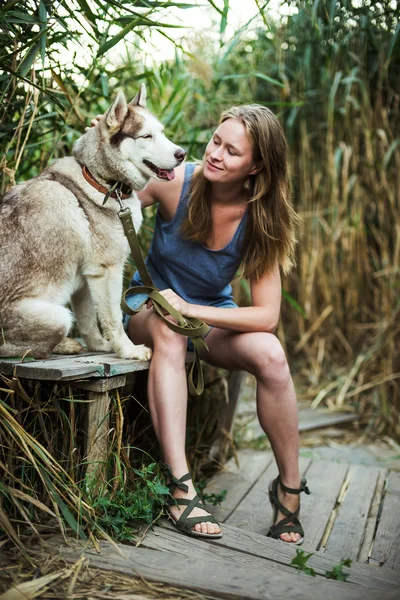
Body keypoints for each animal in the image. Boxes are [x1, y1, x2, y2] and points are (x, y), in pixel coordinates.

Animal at [0, 86, 184, 358]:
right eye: (146, 136)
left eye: (162, 132)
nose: (182, 154)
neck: (100, 181)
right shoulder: (107, 270)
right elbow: (113, 319)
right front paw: (128, 350)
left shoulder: (87, 278)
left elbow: (89, 322)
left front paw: (100, 346)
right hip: (58, 317)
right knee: (26, 349)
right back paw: (63, 345)